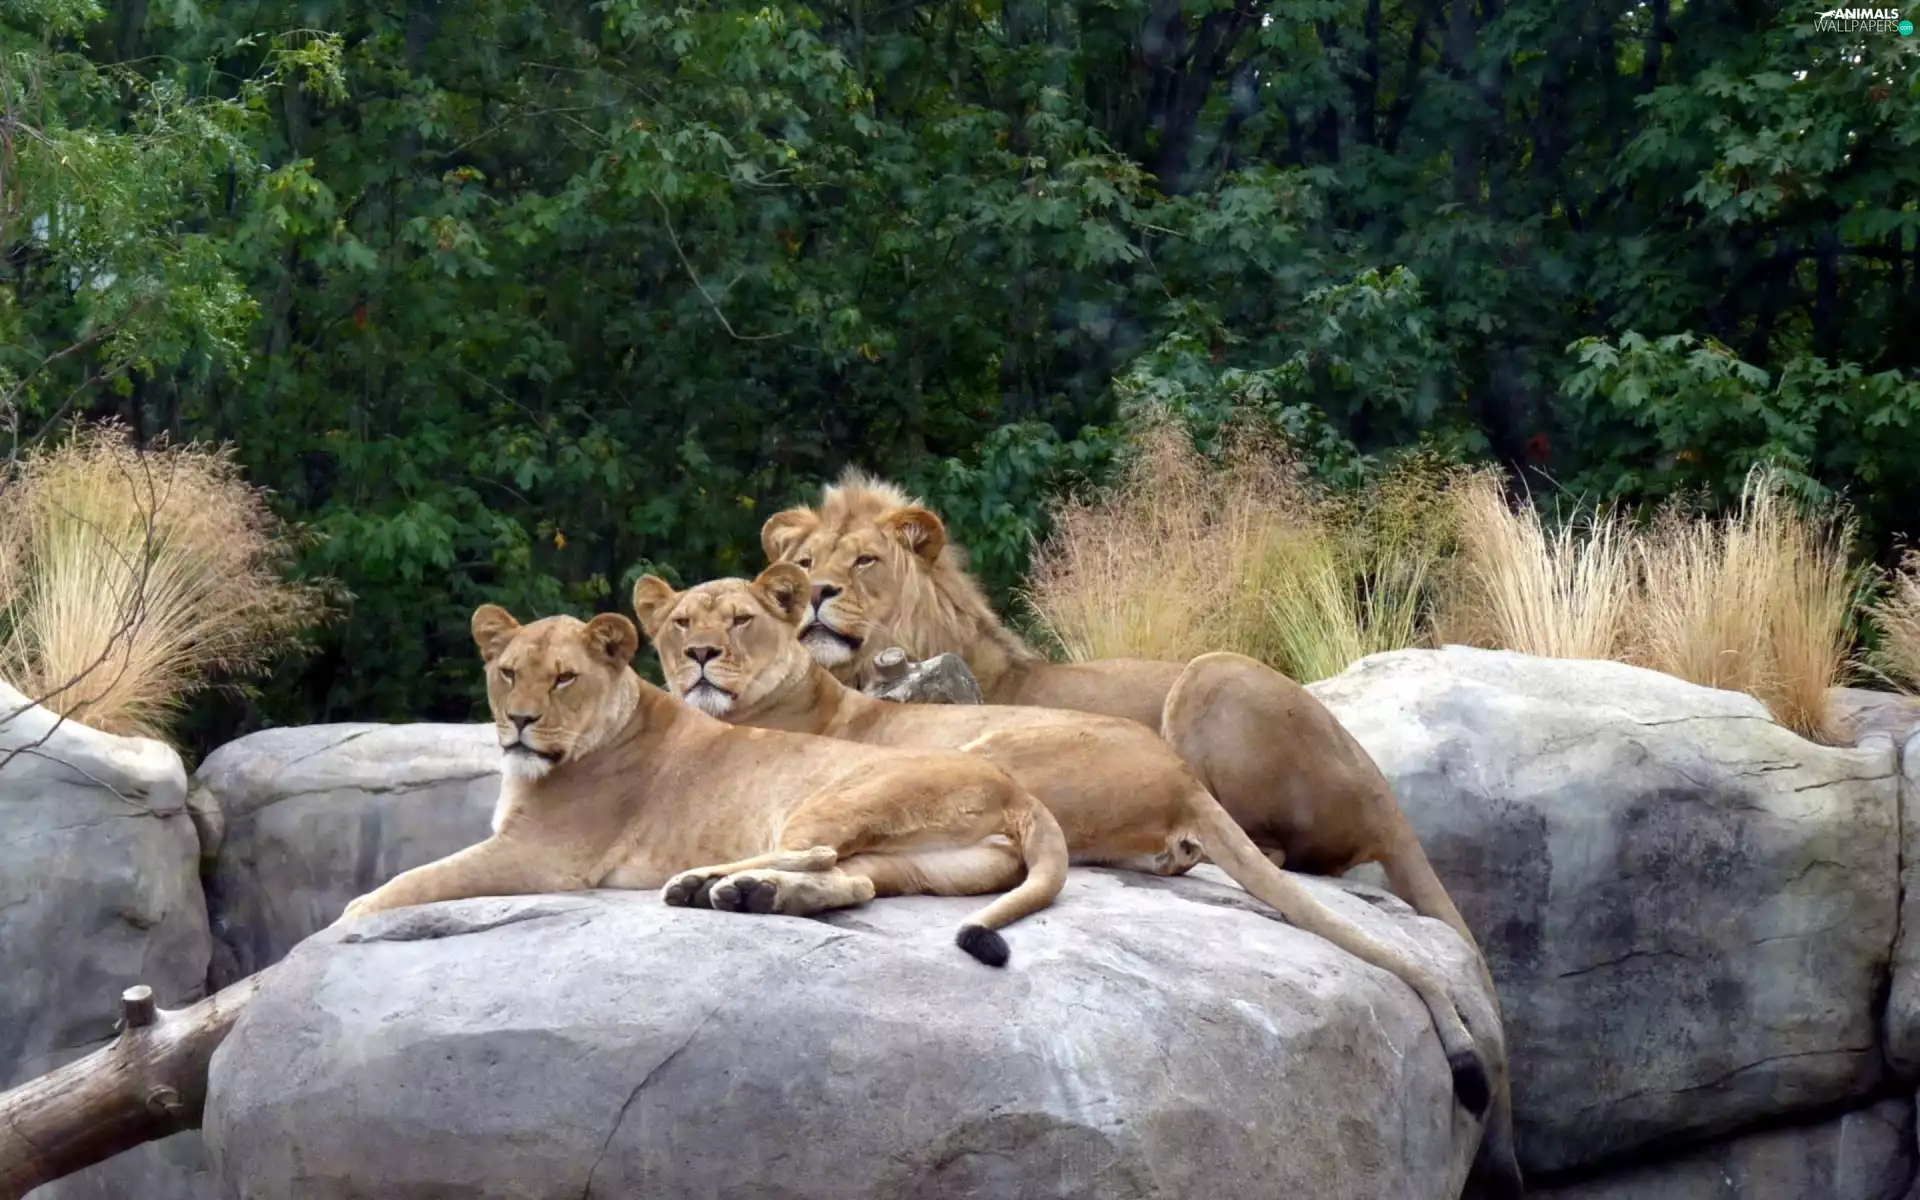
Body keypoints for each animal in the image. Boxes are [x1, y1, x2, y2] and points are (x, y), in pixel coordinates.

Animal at [335, 604, 1070, 967]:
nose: (518, 721)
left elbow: (418, 880)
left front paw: (350, 916)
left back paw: (704, 884)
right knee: (851, 880)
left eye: (564, 678)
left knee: (813, 851)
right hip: (924, 865)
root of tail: (1023, 794)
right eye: (508, 672)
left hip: (833, 797)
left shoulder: (543, 854)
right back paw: (749, 895)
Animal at [761, 470, 1523, 1196]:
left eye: (864, 560)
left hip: (1209, 674)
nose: (817, 593)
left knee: (1269, 849)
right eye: (804, 561)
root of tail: (1378, 784)